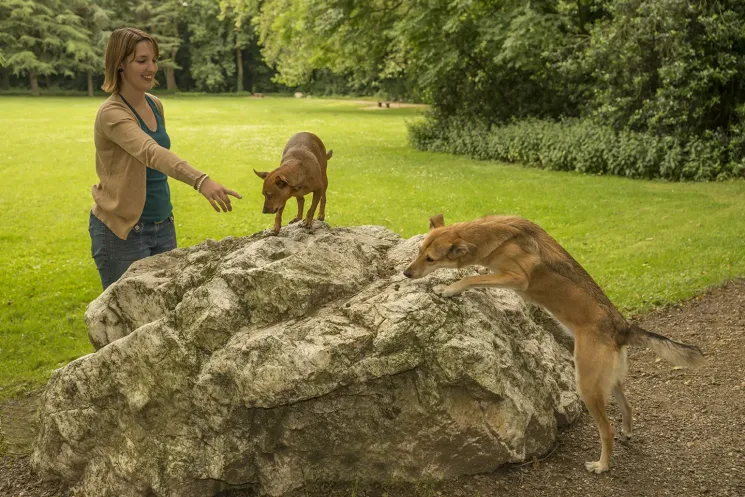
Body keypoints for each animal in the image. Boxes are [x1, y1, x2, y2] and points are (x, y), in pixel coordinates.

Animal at [404, 213, 700, 472]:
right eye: (419, 251)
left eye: (430, 258)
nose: (407, 273)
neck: (495, 236)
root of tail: (622, 327)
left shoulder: (516, 277)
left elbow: (472, 277)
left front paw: (448, 289)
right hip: (609, 379)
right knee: (627, 407)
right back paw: (626, 434)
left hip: (588, 385)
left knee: (607, 430)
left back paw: (602, 466)